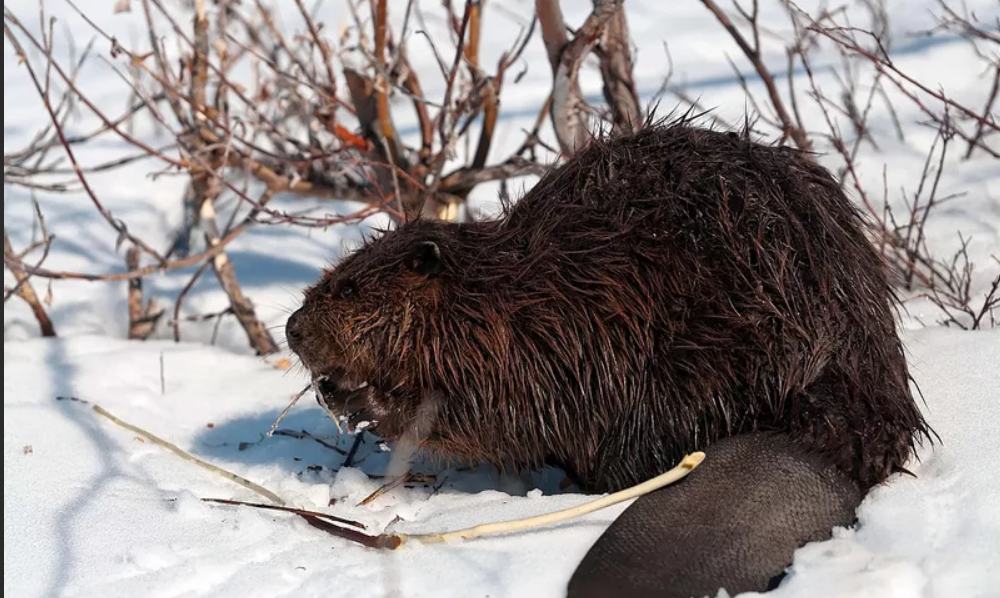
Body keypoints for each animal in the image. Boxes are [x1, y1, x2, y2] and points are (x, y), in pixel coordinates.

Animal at [286, 119, 932, 596]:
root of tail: (815, 442)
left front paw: (353, 397)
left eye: (347, 288)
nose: (292, 329)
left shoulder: (544, 342)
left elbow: (488, 412)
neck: (497, 292)